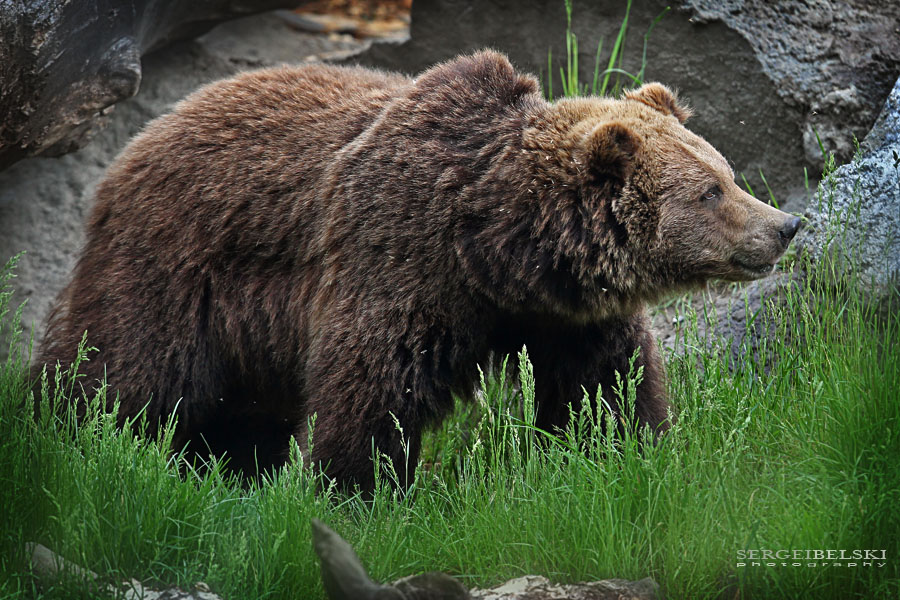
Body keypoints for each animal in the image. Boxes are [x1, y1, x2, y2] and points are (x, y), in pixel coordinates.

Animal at [34, 50, 801, 491]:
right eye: (710, 191)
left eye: (727, 172)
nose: (784, 225)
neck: (498, 249)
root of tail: (139, 139)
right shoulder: (401, 257)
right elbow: (376, 387)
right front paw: (362, 486)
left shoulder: (563, 315)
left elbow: (604, 387)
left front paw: (624, 454)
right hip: (175, 265)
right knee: (120, 370)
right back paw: (66, 439)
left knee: (237, 410)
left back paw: (224, 472)